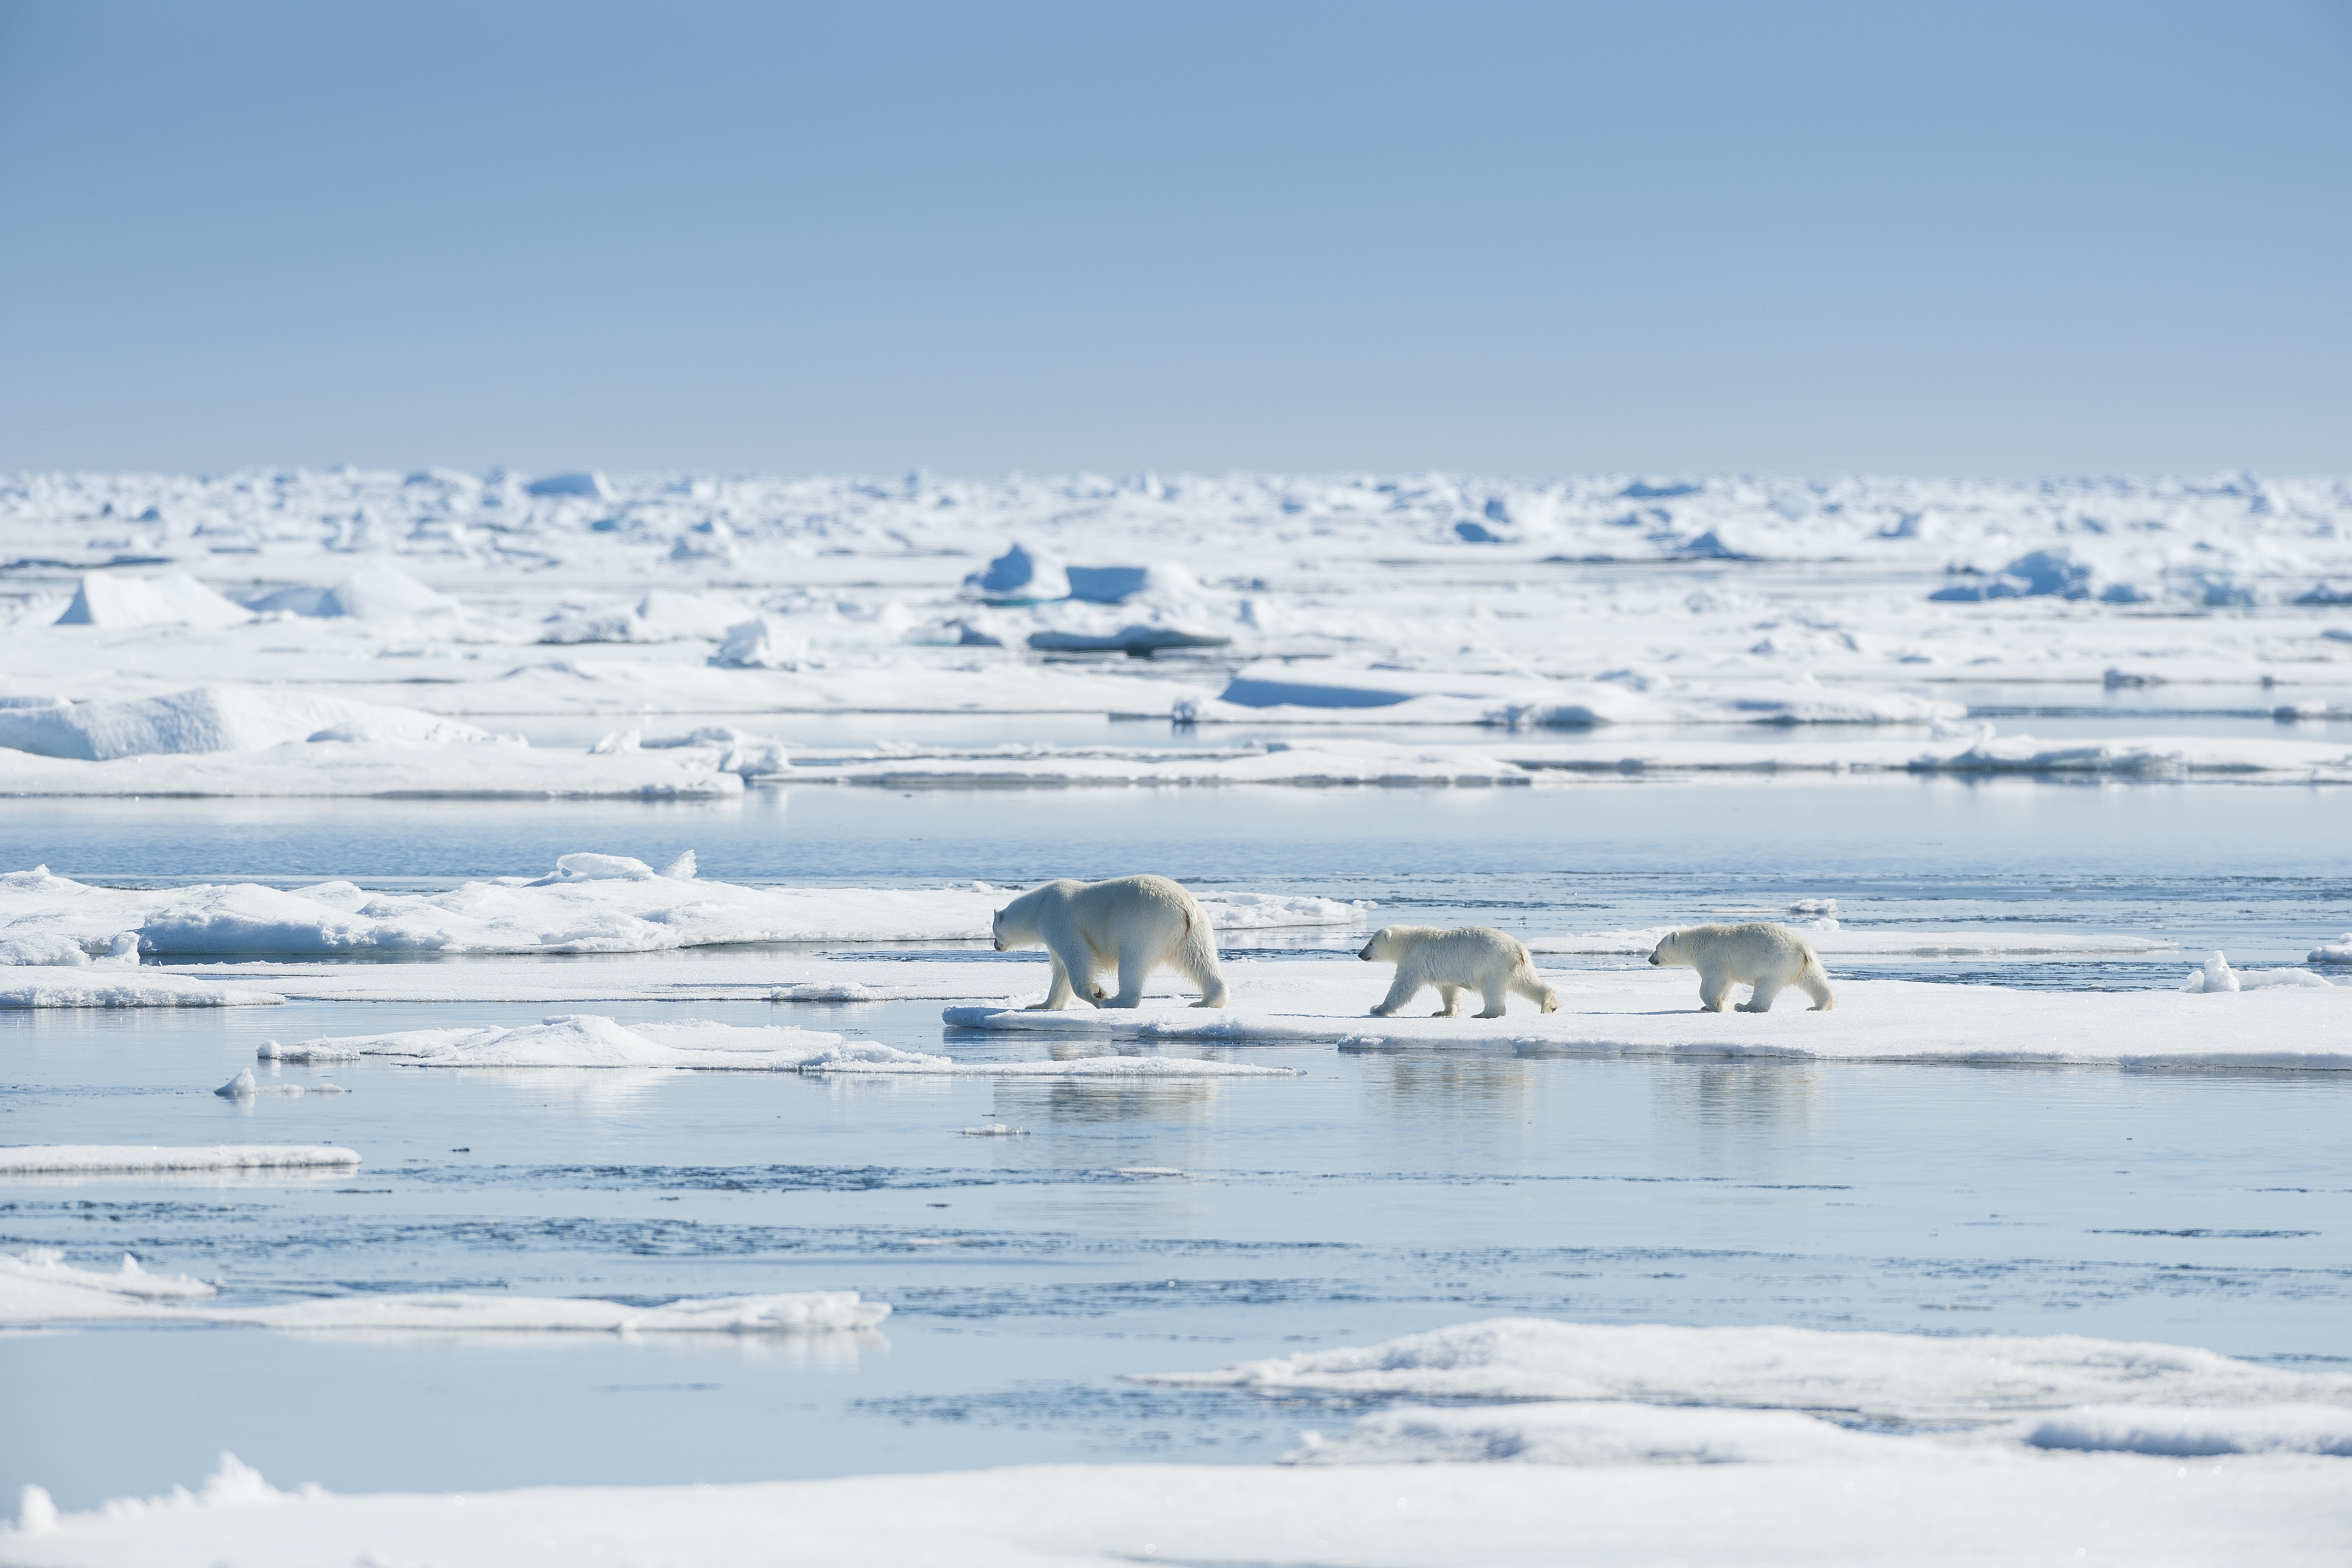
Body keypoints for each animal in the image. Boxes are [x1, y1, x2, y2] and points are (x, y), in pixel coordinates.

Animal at [991, 875, 1229, 1010]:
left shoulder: (1060, 920)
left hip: (1146, 924)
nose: (995, 946)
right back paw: (1205, 1001)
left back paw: (1115, 1001)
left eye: (994, 930)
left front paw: (1098, 994)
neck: (1039, 907)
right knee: (1200, 959)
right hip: (1195, 930)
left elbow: (1078, 956)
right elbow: (1060, 971)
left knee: (1133, 961)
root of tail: (1185, 907)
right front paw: (1040, 1005)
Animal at [1358, 925, 1560, 1018]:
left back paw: (1484, 1013)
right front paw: (1443, 1012)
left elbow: (1402, 987)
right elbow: (1450, 990)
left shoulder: (1415, 960)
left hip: (1494, 964)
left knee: (1492, 989)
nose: (1360, 954)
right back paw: (1549, 1004)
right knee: (1527, 983)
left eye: (1370, 943)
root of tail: (1519, 948)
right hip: (1517, 966)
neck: (1411, 942)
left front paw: (1378, 1008)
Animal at [1647, 923, 1836, 1013]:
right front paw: (1712, 1006)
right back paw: (1818, 1006)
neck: (1698, 942)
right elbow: (1728, 985)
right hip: (1804, 965)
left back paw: (1744, 1006)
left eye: (1656, 947)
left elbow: (1713, 982)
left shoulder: (1713, 957)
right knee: (1815, 982)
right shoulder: (1727, 967)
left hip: (1776, 963)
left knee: (1765, 987)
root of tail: (1803, 948)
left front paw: (1716, 1006)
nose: (1650, 959)